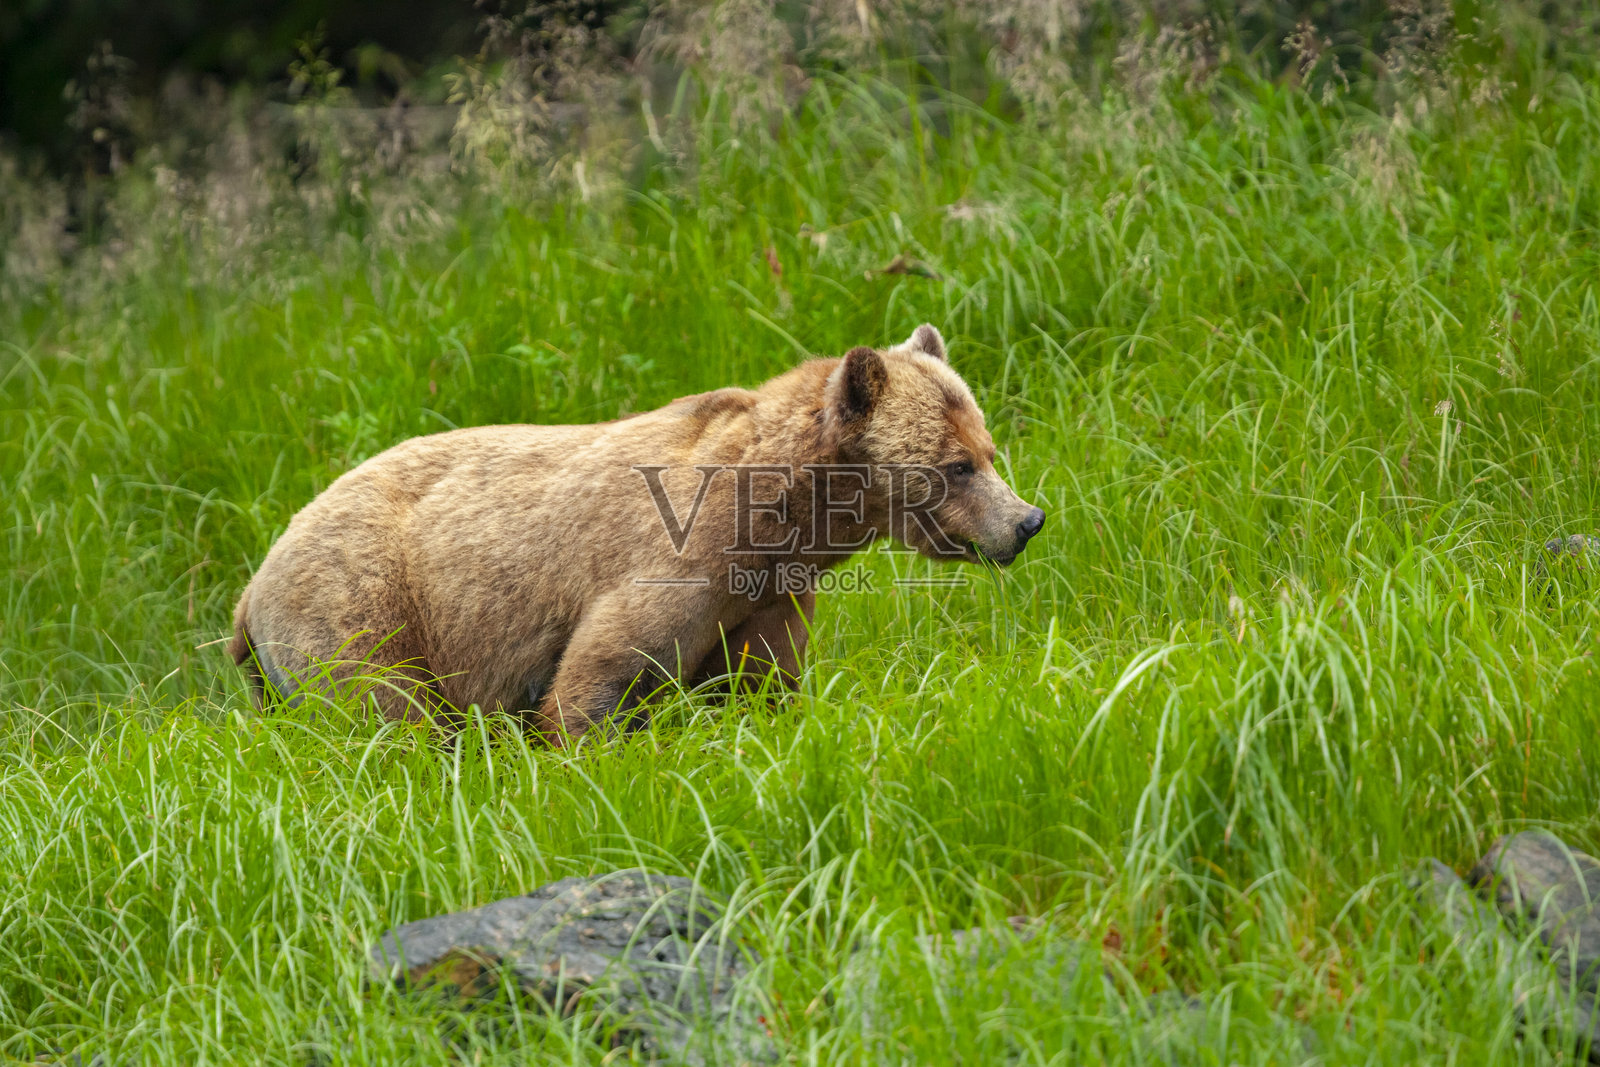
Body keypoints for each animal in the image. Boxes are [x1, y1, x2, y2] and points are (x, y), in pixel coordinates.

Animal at [227, 324, 1045, 741]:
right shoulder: (673, 564)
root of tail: (251, 582)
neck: (778, 519)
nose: (1027, 522)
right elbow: (599, 676)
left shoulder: (765, 596)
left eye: (988, 449)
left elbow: (759, 682)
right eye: (957, 466)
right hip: (364, 600)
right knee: (383, 711)